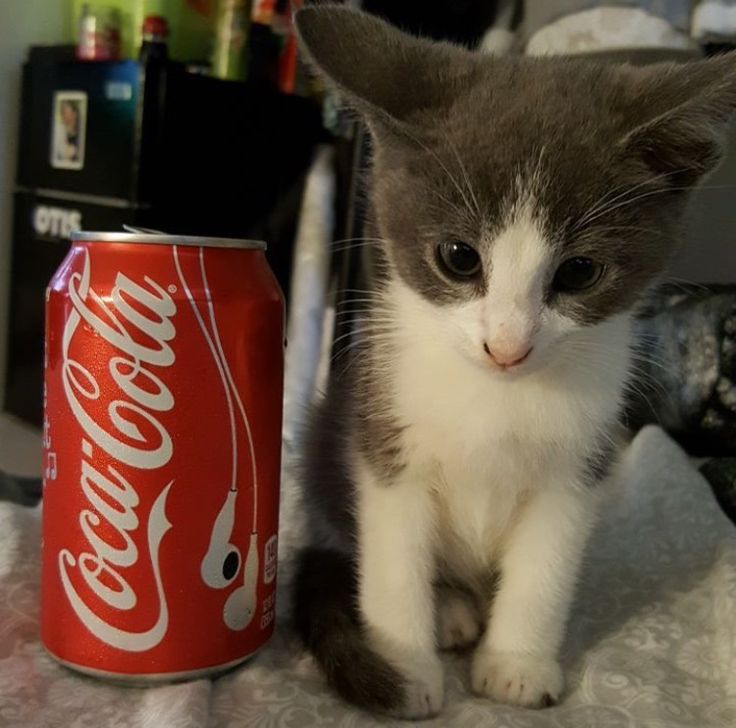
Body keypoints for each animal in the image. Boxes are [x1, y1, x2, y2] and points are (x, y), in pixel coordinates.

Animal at [292, 5, 736, 724]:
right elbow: (394, 565)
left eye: (579, 272)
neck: (499, 395)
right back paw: (448, 610)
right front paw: (405, 666)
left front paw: (517, 666)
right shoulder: (386, 439)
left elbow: (544, 570)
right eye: (458, 257)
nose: (507, 345)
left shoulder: (580, 467)